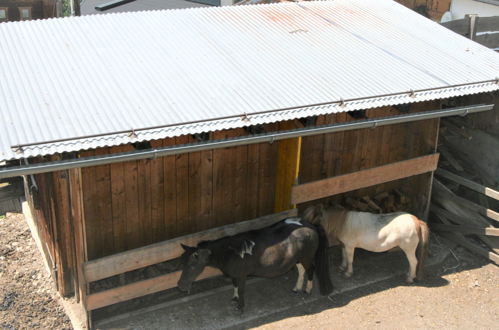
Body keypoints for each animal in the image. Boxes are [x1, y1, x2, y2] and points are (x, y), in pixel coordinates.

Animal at [178, 217, 334, 312]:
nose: (180, 286)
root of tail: (309, 224)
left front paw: (240, 307)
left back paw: (307, 290)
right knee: (301, 270)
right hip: (298, 258)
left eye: (192, 265)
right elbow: (234, 285)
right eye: (182, 263)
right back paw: (296, 288)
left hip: (307, 257)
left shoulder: (242, 275)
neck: (230, 251)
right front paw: (234, 299)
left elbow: (241, 289)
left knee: (311, 270)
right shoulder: (234, 274)